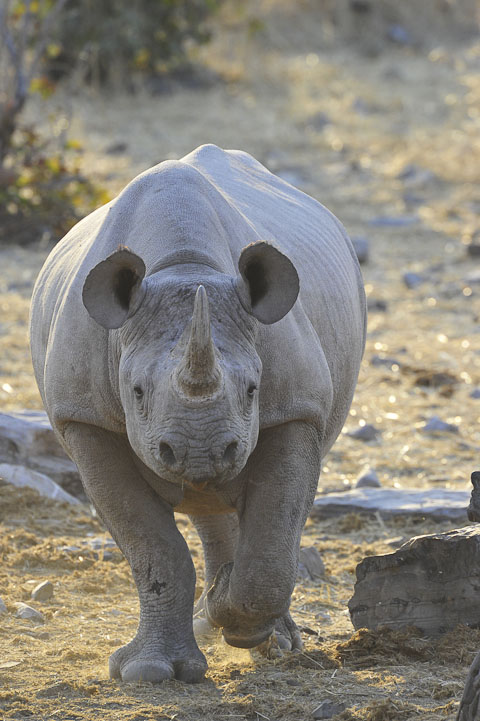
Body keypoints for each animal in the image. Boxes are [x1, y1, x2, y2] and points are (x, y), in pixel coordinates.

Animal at [30, 144, 366, 683]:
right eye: (137, 392)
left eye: (253, 390)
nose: (201, 452)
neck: (185, 269)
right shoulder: (84, 418)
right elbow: (152, 546)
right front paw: (149, 672)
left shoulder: (297, 410)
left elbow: (273, 544)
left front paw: (238, 621)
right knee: (208, 505)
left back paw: (261, 633)